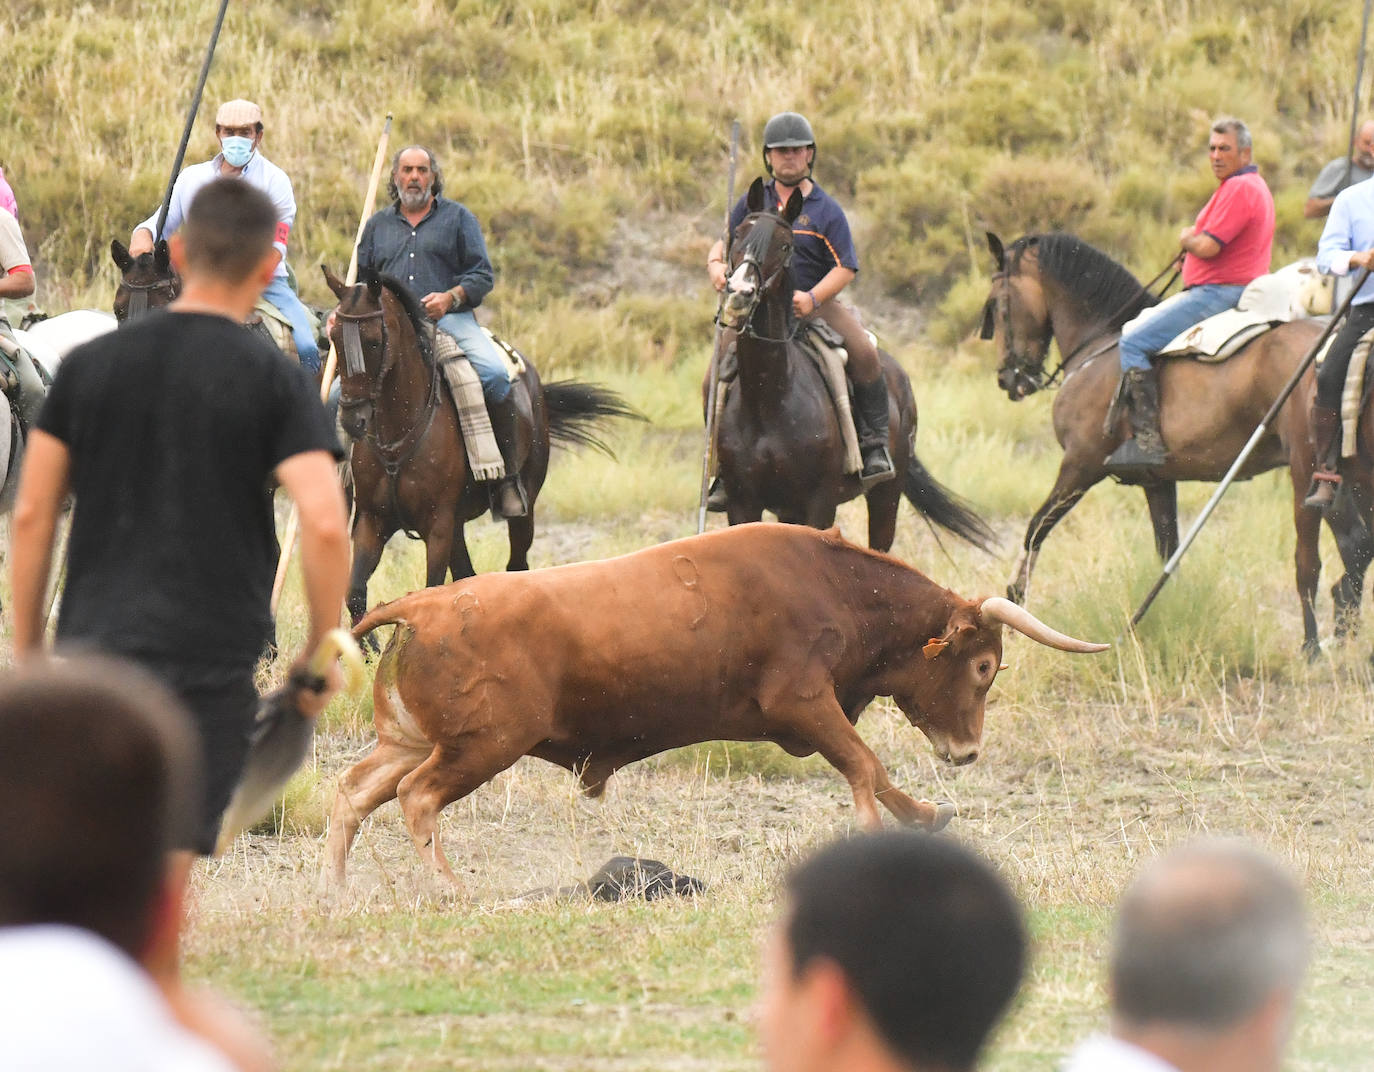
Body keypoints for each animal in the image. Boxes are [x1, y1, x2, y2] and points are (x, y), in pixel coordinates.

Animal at [325, 266, 637, 629]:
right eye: (334, 339)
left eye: (374, 341)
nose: (353, 420)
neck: (396, 441)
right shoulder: (373, 523)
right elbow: (356, 595)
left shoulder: (438, 526)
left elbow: (430, 590)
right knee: (467, 575)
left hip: (523, 509)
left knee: (516, 567)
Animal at [327, 522, 1110, 885]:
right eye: (983, 666)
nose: (967, 752)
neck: (836, 585)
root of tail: (423, 605)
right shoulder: (804, 701)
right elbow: (866, 766)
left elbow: (874, 772)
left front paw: (924, 815)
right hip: (479, 747)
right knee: (418, 799)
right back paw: (449, 890)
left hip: (409, 741)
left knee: (353, 793)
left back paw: (336, 889)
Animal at [714, 177, 994, 552]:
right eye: (739, 233)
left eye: (785, 245)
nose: (739, 293)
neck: (770, 398)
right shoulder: (743, 503)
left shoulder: (819, 503)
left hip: (885, 495)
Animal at [983, 232, 1346, 654]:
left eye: (998, 305)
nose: (1007, 379)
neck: (1099, 345)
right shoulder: (1158, 482)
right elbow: (1167, 550)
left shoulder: (1079, 466)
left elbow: (1036, 528)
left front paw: (1013, 602)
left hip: (1306, 473)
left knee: (1311, 559)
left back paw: (1312, 646)